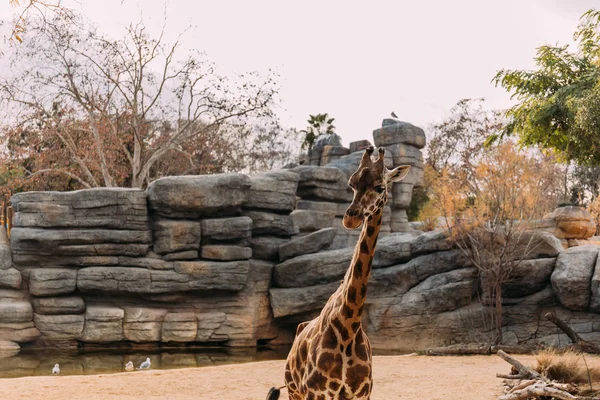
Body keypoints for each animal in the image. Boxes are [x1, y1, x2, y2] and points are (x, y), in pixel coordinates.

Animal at [268, 147, 412, 400]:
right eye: (351, 183)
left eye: (380, 187)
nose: (350, 218)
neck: (348, 325)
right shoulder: (315, 393)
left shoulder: (361, 394)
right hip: (294, 391)